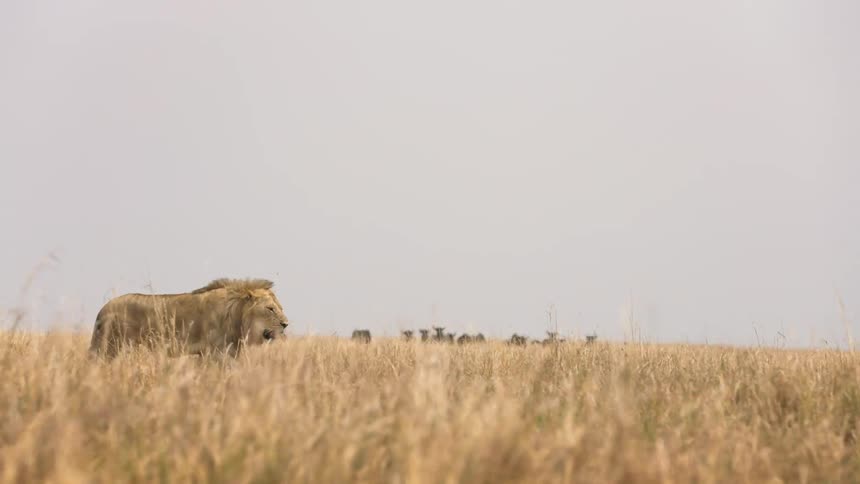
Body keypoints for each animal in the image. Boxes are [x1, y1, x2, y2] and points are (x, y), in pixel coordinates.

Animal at [88, 278, 288, 358]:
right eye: (270, 309)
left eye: (280, 308)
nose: (285, 324)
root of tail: (102, 311)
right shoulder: (216, 354)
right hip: (113, 348)